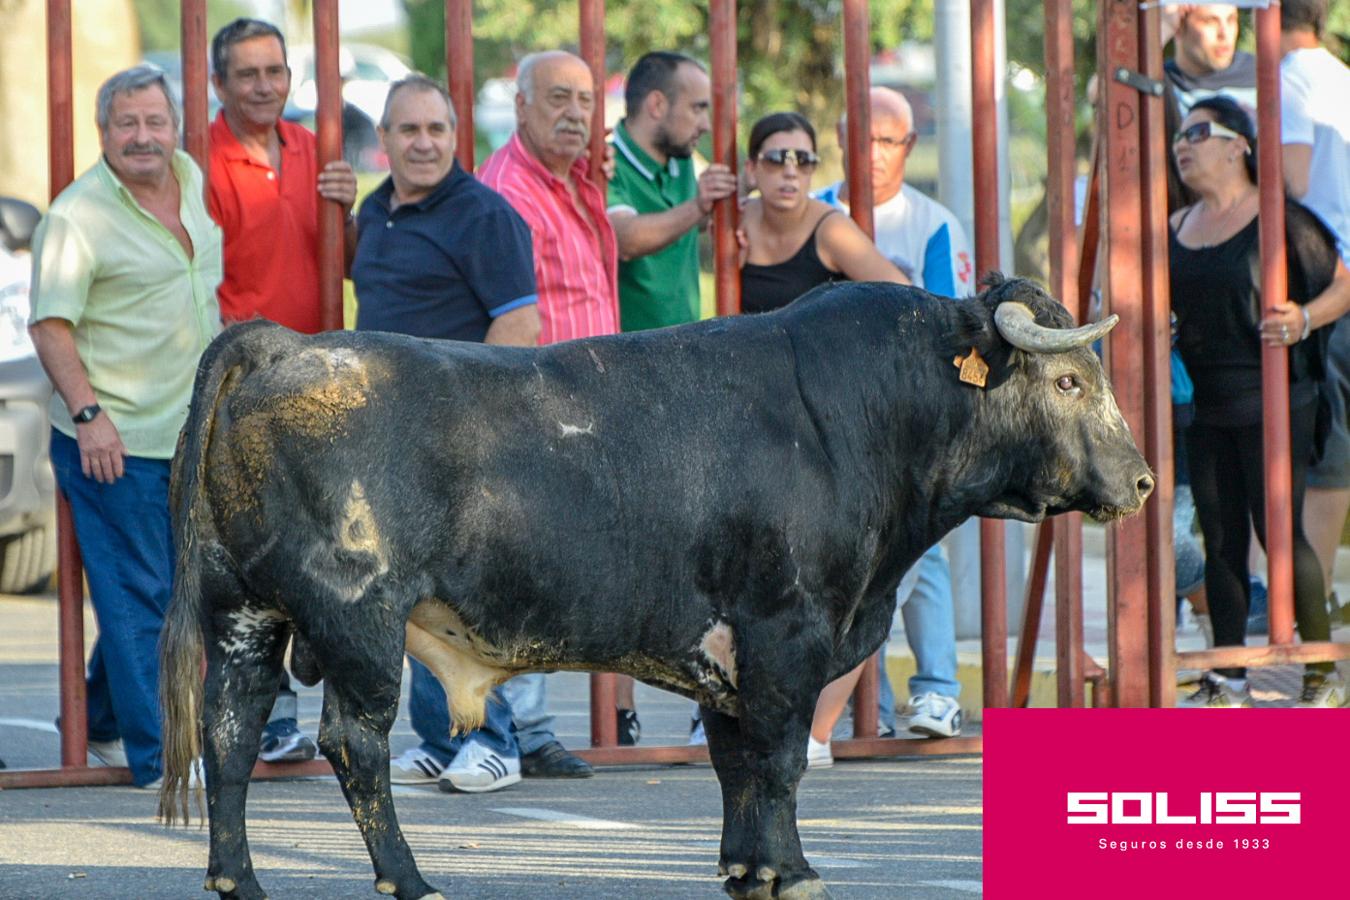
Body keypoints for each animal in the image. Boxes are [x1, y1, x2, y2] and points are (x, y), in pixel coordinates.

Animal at [155, 277, 1150, 895]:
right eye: (1069, 379)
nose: (1142, 482)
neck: (862, 412)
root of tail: (284, 346)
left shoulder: (722, 652)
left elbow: (736, 763)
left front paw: (746, 869)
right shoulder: (786, 633)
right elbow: (779, 761)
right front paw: (794, 871)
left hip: (244, 615)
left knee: (232, 734)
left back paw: (238, 879)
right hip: (359, 625)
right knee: (352, 745)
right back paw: (409, 879)